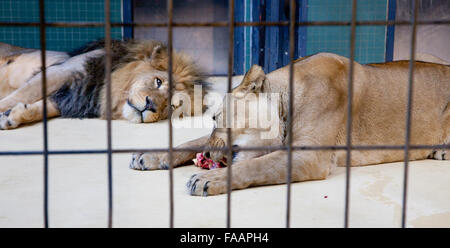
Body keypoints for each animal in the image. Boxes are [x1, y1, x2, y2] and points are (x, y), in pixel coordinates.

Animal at [0, 39, 204, 130]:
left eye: (171, 106)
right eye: (158, 81)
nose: (150, 106)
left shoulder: (71, 99)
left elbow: (38, 107)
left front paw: (11, 116)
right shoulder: (60, 72)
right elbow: (21, 95)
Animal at [128, 52, 448, 196]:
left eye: (217, 117)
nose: (206, 157)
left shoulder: (309, 156)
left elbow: (252, 167)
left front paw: (208, 180)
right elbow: (188, 142)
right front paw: (148, 155)